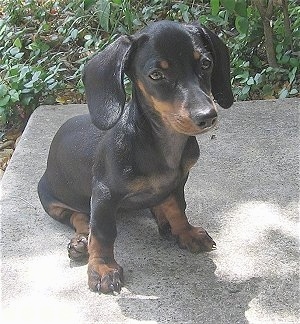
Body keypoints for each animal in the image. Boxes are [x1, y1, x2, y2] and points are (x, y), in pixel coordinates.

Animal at [38, 20, 234, 294]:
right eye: (156, 75)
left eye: (206, 63)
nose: (207, 116)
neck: (162, 142)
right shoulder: (104, 194)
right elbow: (102, 233)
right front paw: (102, 268)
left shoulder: (177, 182)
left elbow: (178, 208)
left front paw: (185, 232)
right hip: (50, 199)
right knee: (79, 217)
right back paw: (81, 241)